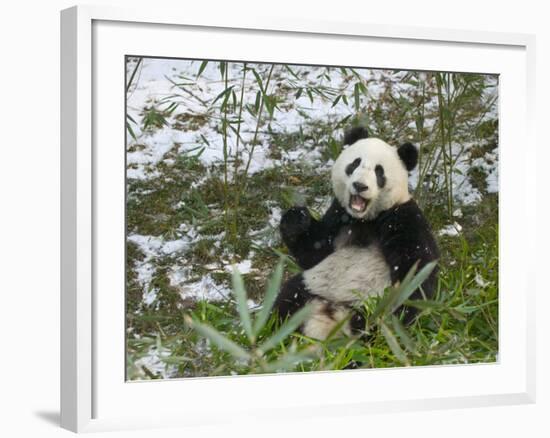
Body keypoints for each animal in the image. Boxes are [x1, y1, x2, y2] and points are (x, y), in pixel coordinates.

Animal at [274, 126, 440, 338]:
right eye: (354, 164)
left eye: (379, 172)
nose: (360, 186)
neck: (366, 219)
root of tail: (330, 314)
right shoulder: (339, 214)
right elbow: (315, 252)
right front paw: (296, 218)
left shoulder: (403, 217)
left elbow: (416, 269)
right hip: (312, 285)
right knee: (286, 300)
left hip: (368, 306)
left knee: (372, 327)